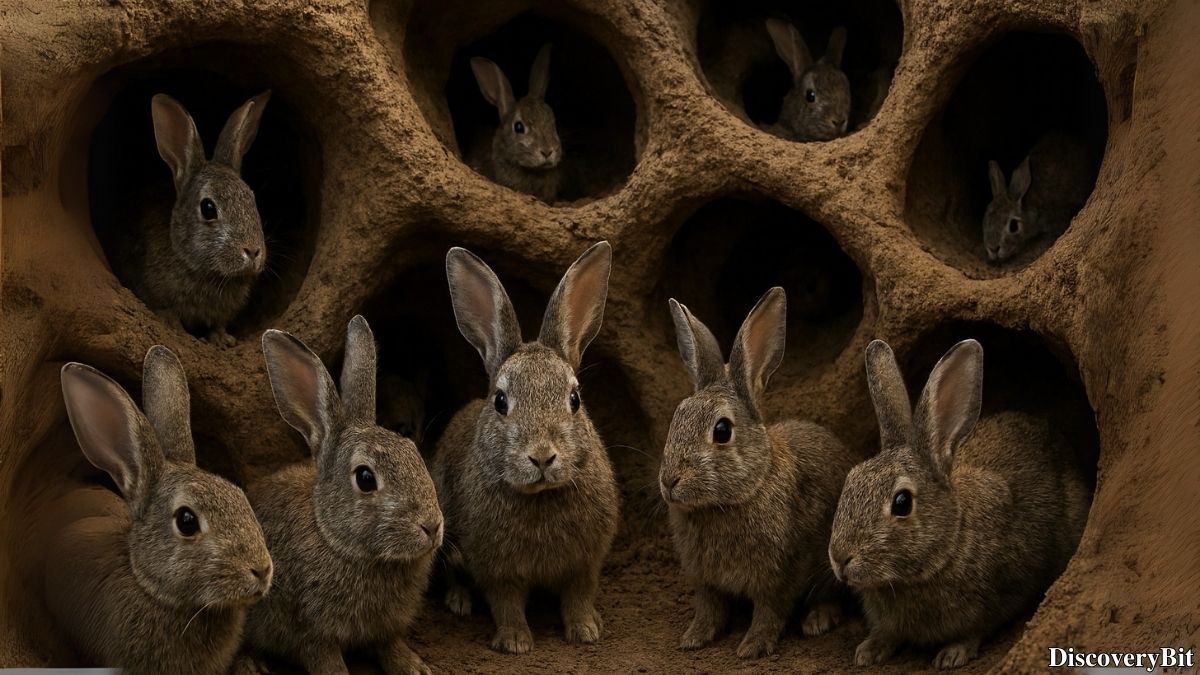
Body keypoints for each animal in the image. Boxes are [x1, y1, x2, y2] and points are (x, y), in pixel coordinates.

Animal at [131, 91, 270, 347]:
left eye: (251, 198)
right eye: (208, 208)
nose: (253, 252)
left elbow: (218, 323)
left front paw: (222, 338)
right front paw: (174, 325)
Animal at [243, 315, 443, 674]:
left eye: (413, 452)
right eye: (365, 478)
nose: (432, 526)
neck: (335, 539)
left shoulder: (387, 628)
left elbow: (390, 645)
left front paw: (414, 667)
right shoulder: (309, 631)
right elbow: (325, 659)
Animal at [433, 241, 620, 654]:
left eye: (574, 399)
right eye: (501, 401)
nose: (542, 457)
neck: (540, 496)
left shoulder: (585, 564)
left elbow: (578, 596)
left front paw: (586, 629)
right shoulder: (496, 569)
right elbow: (506, 603)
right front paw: (515, 641)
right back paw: (458, 601)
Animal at [660, 287, 855, 659]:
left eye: (722, 431)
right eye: (677, 415)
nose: (670, 481)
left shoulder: (780, 573)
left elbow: (769, 611)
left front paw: (752, 646)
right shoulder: (704, 580)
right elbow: (709, 609)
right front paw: (693, 638)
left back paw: (818, 620)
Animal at [828, 339, 1091, 669]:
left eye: (902, 503)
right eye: (850, 480)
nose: (840, 557)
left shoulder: (998, 594)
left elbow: (977, 628)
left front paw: (952, 655)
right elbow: (887, 633)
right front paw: (868, 651)